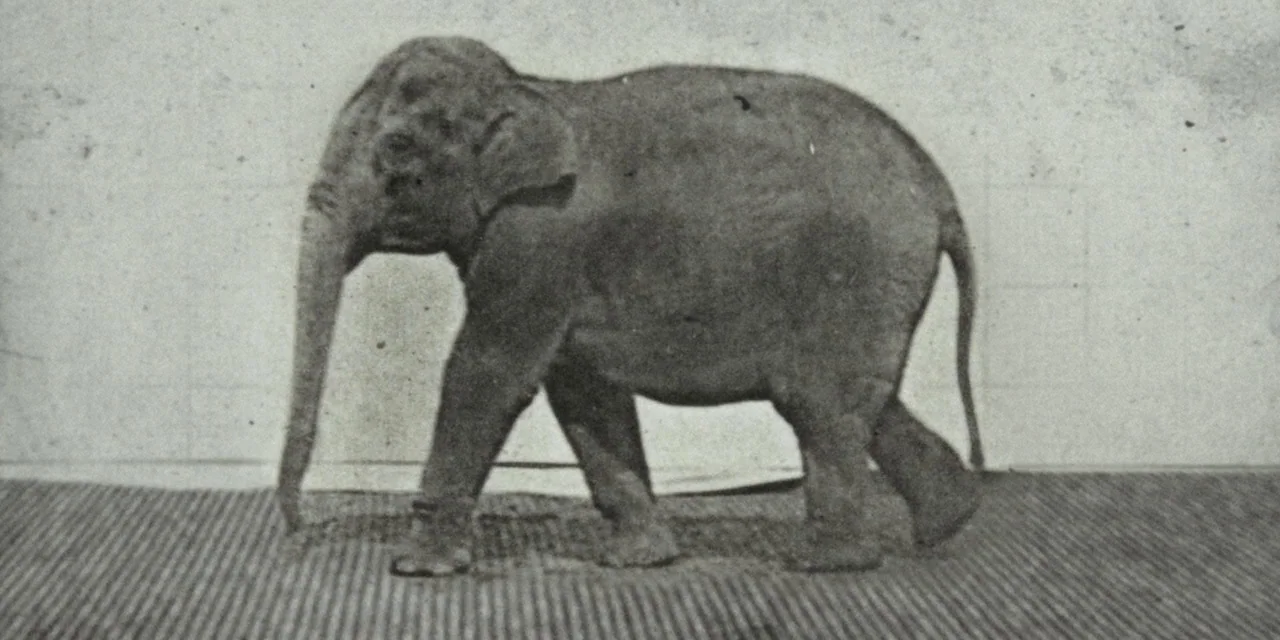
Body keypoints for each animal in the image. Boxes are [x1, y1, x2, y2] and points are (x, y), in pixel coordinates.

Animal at [277, 36, 984, 577]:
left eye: (396, 147)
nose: (296, 530)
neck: (527, 88)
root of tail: (939, 186)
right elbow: (581, 389)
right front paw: (639, 560)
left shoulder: (541, 234)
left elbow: (489, 372)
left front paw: (419, 569)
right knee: (858, 400)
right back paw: (948, 522)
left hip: (857, 269)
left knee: (818, 402)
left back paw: (823, 563)